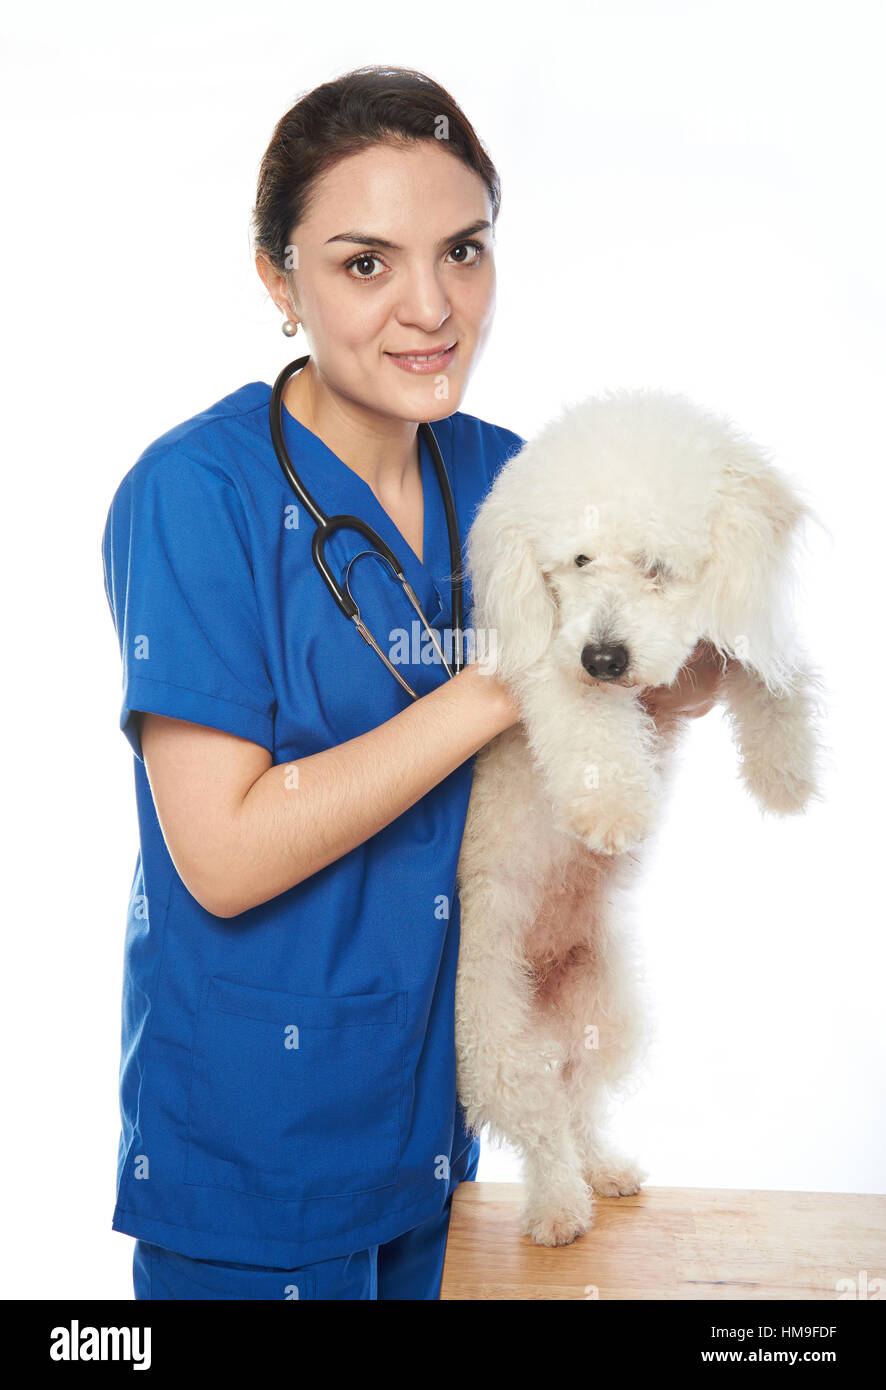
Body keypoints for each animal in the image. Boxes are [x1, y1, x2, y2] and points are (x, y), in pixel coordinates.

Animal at [456, 389, 823, 1251]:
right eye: (578, 562)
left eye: (656, 566)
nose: (605, 658)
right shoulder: (549, 667)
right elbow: (584, 722)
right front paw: (616, 808)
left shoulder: (726, 631)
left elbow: (773, 671)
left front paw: (786, 770)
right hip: (493, 1039)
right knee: (539, 1124)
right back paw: (559, 1209)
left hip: (604, 1016)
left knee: (577, 1102)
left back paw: (605, 1171)